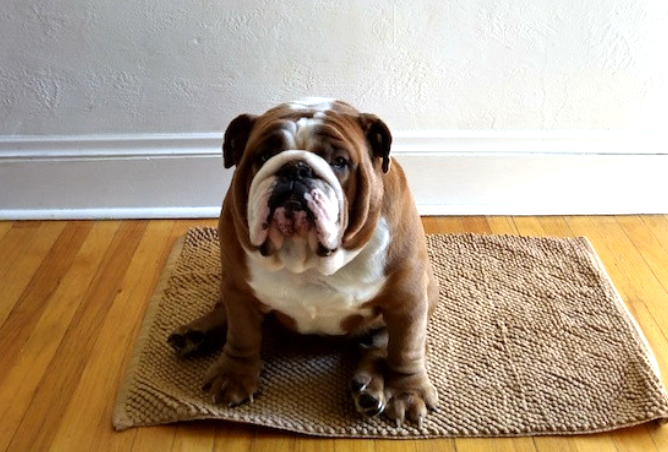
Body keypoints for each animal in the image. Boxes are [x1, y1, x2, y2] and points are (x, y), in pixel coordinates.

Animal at [167, 97, 438, 426]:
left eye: (339, 162)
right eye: (264, 155)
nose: (296, 168)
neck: (305, 258)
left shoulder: (407, 299)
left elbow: (405, 350)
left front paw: (407, 392)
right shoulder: (239, 290)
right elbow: (242, 334)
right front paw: (234, 375)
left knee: (379, 346)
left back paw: (369, 388)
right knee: (224, 312)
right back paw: (193, 334)